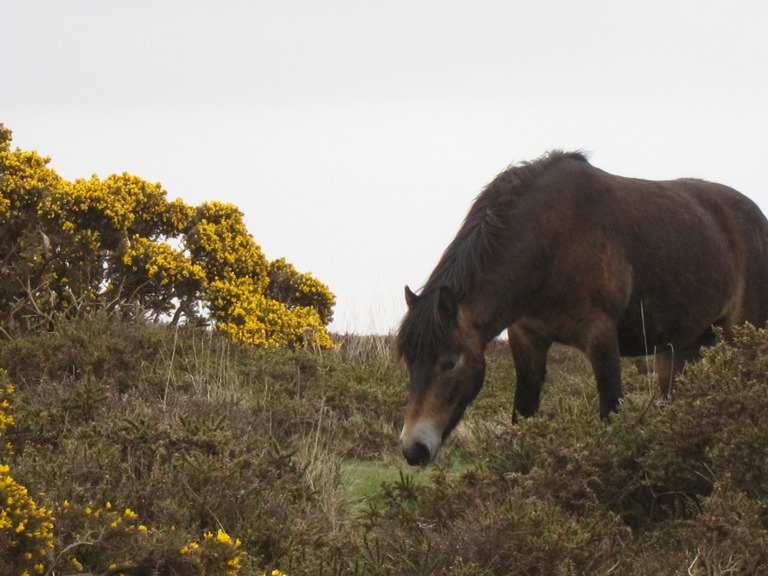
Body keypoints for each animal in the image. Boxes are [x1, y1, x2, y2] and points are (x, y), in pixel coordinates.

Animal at [396, 151, 768, 466]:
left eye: (448, 362)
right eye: (409, 361)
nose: (413, 449)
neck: (550, 242)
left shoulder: (600, 336)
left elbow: (611, 413)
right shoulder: (526, 336)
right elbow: (523, 416)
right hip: (684, 347)